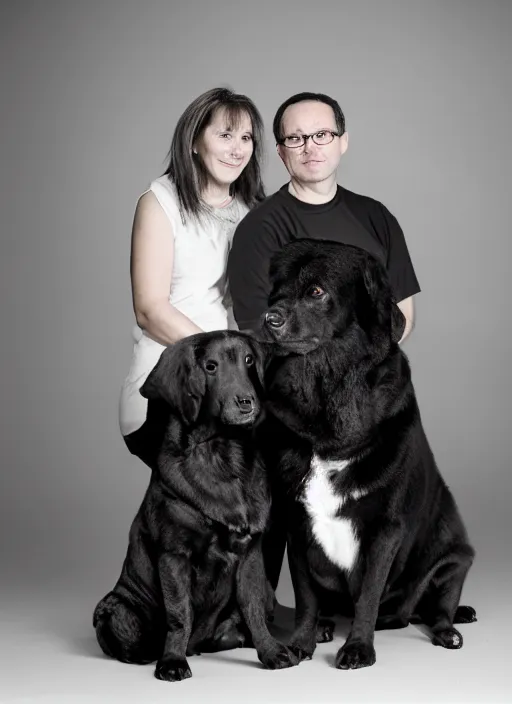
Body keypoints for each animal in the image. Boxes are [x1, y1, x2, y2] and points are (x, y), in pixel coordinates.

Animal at [94, 332, 298, 680]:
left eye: (248, 360)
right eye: (210, 367)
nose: (247, 402)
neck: (222, 452)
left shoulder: (250, 554)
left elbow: (253, 607)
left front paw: (271, 652)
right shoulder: (174, 555)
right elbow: (180, 614)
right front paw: (172, 661)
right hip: (114, 609)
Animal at [260, 241, 476, 672]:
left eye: (316, 291)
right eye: (276, 290)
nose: (268, 318)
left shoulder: (385, 528)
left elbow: (369, 595)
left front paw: (359, 648)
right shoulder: (296, 523)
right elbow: (306, 597)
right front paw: (302, 642)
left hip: (455, 557)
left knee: (436, 608)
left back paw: (445, 632)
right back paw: (327, 626)